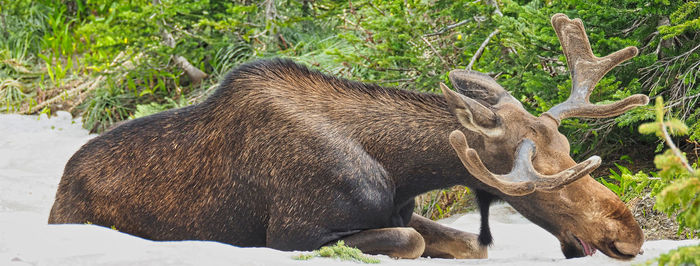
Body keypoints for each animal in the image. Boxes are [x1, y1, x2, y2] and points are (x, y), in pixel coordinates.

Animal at [50, 14, 652, 260]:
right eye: (545, 176)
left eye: (569, 151)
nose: (631, 236)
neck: (400, 171)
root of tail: (58, 195)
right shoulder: (292, 235)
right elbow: (410, 244)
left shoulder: (402, 211)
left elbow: (471, 245)